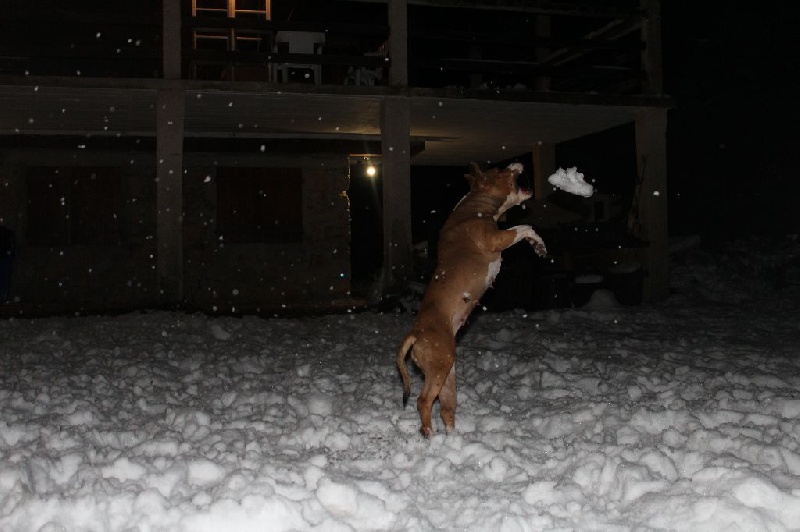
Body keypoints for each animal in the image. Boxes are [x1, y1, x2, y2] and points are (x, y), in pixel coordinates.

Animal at [397, 162, 547, 437]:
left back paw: (453, 438)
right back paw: (429, 435)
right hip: (439, 368)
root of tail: (416, 333)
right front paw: (535, 239)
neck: (474, 206)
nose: (517, 163)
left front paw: (539, 246)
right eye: (501, 170)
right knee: (423, 401)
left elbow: (527, 231)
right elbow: (523, 228)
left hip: (447, 377)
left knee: (446, 409)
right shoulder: (496, 239)